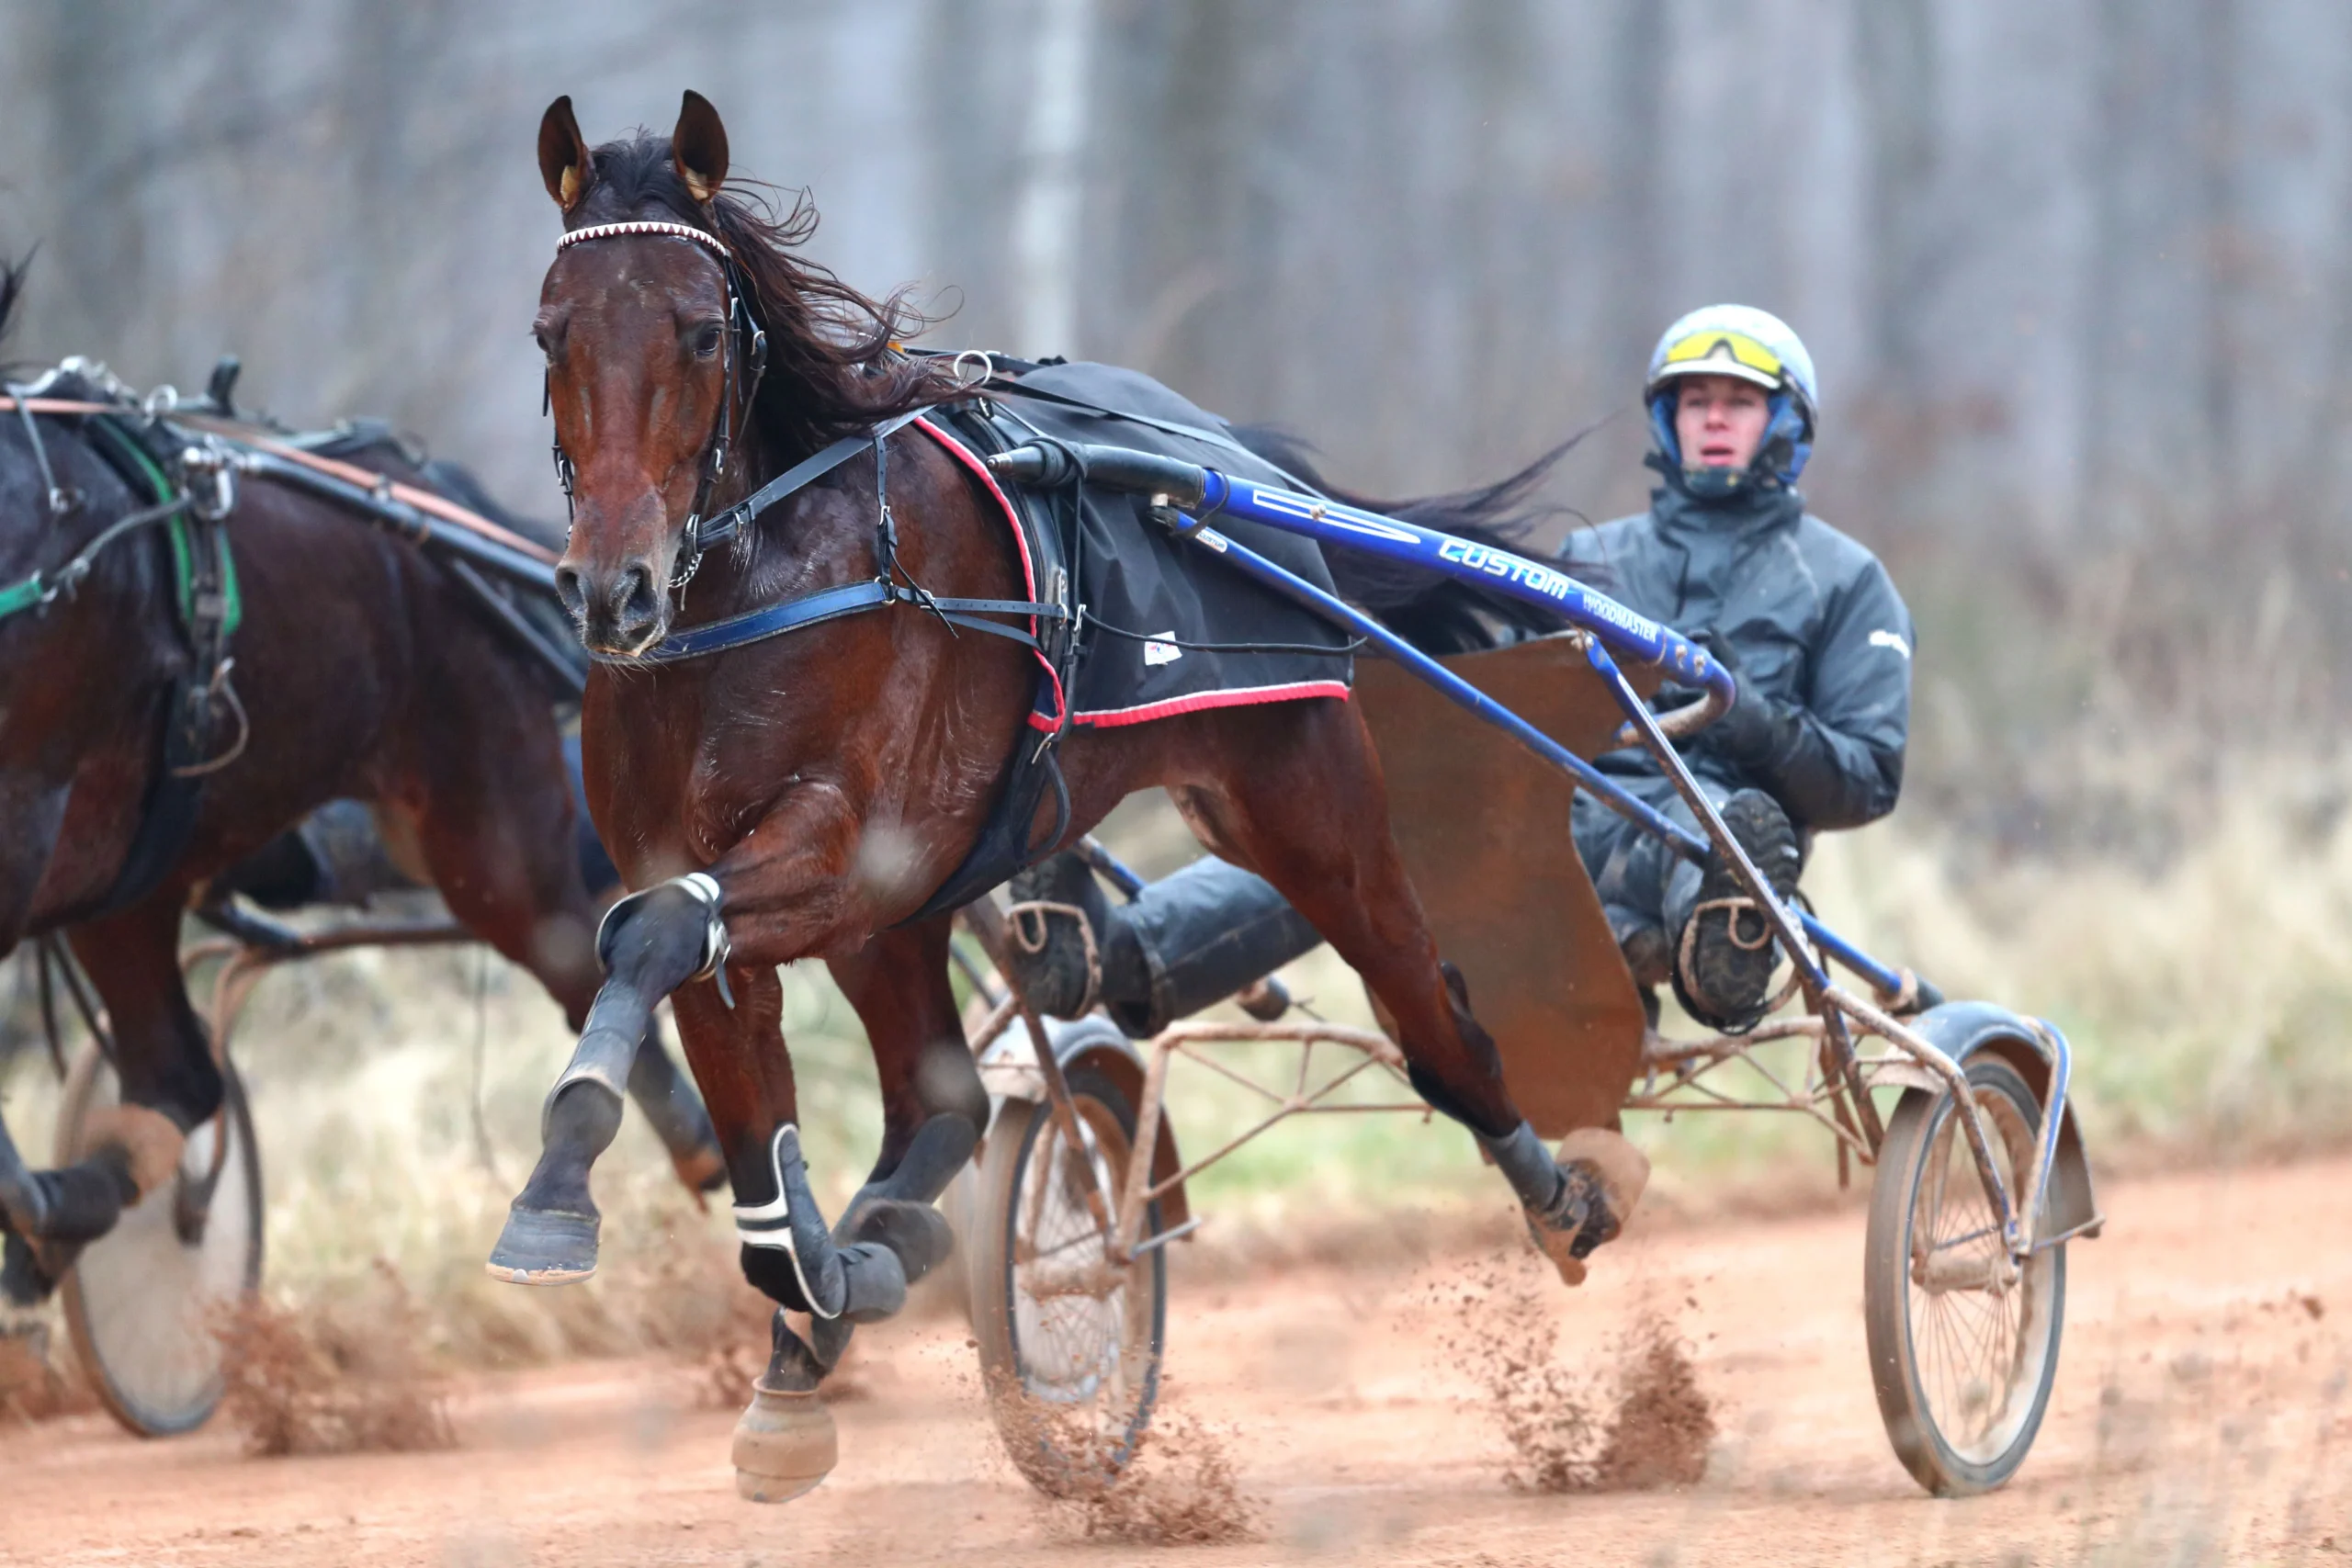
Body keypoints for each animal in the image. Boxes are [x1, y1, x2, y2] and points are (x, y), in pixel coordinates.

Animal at [505, 88, 1627, 1495]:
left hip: (1307, 802)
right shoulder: (736, 875)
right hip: (913, 910)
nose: (614, 590)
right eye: (549, 331)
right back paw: (866, 1258)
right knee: (945, 1099)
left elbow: (654, 934)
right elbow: (702, 1022)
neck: (764, 592)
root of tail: (1236, 461)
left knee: (1438, 1016)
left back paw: (1562, 1195)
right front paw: (805, 1296)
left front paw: (558, 1188)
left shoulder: (837, 851)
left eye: (702, 330)